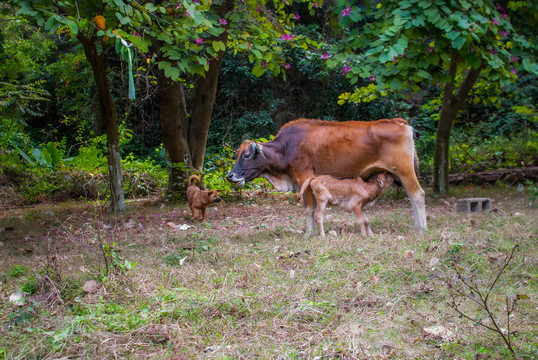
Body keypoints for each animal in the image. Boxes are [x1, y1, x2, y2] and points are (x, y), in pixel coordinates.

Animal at [224, 118, 426, 231]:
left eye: (246, 155)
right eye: (236, 154)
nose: (230, 176)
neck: (287, 147)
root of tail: (399, 122)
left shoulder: (304, 177)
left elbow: (309, 209)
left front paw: (309, 232)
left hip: (405, 171)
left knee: (417, 195)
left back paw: (422, 228)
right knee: (411, 197)